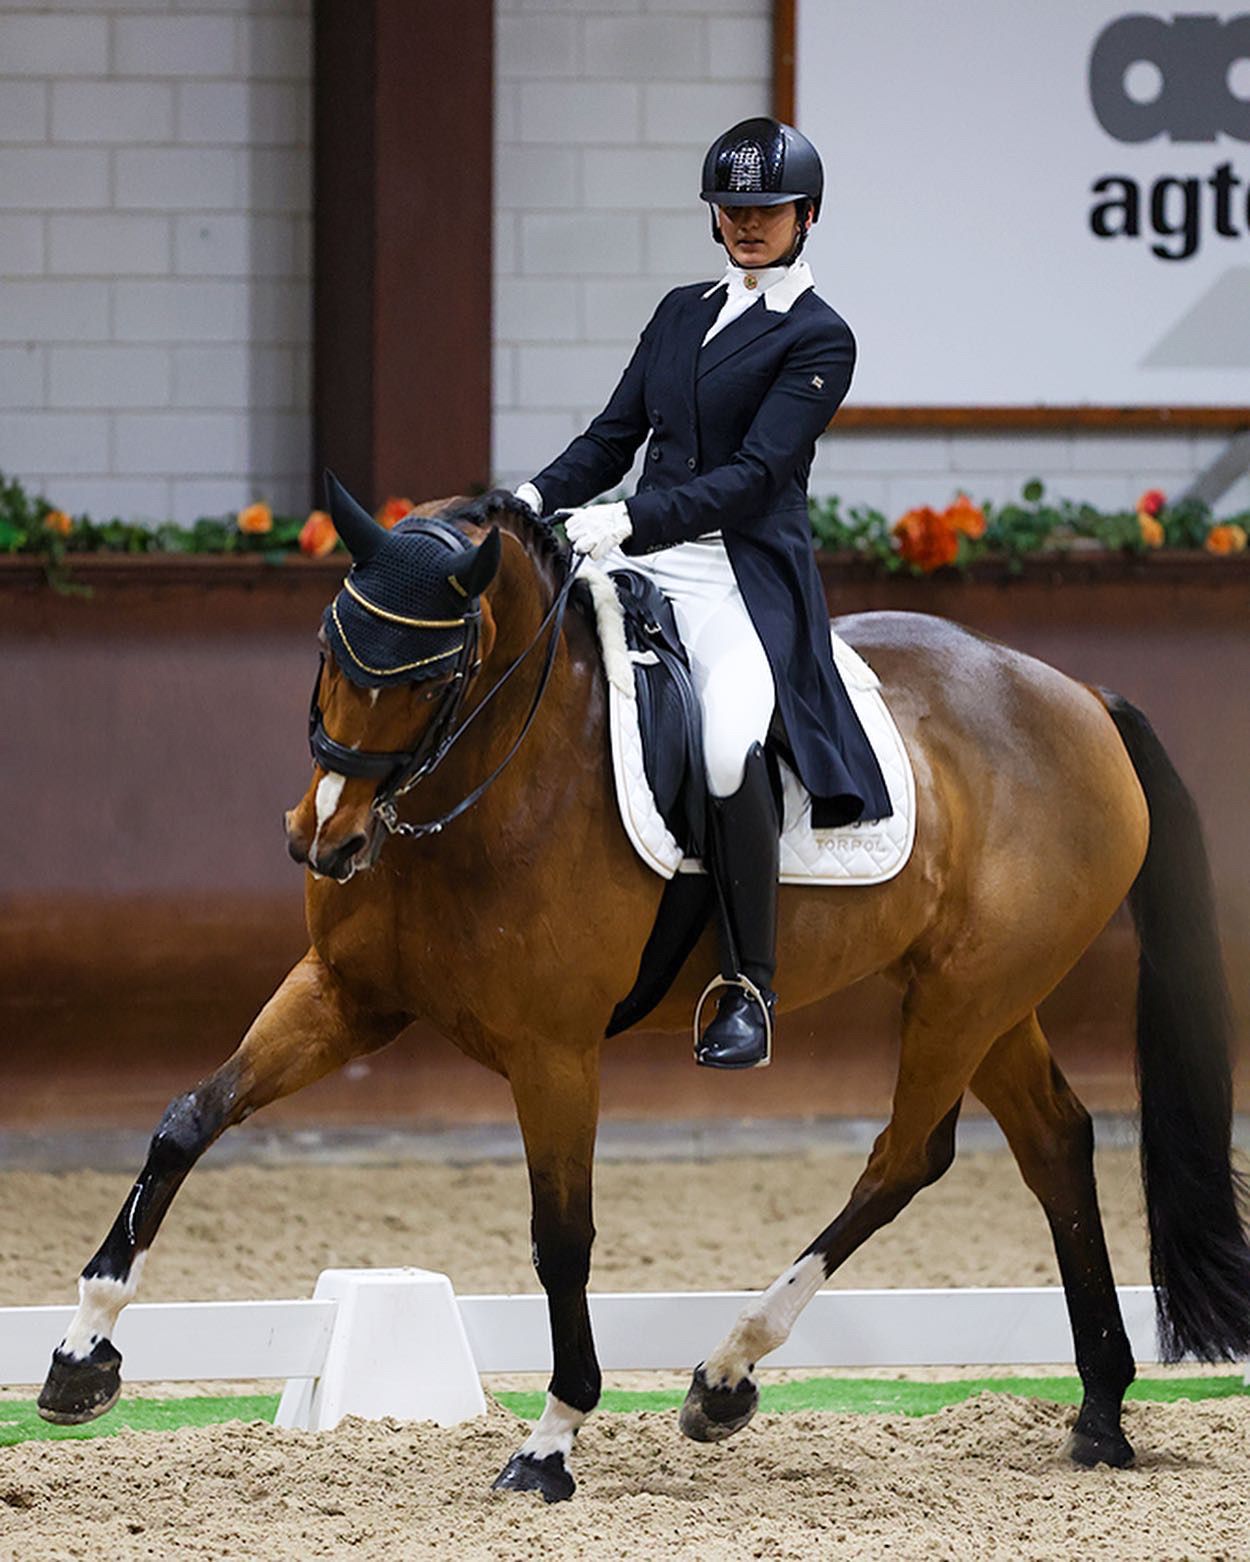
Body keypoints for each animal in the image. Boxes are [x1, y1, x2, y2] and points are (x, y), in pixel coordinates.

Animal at [36, 484, 1250, 1499]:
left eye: (431, 677)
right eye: (328, 643)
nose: (322, 838)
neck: (493, 779)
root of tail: (1075, 695)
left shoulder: (554, 1048)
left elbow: (561, 1234)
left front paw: (550, 1441)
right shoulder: (346, 996)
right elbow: (187, 1116)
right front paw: (82, 1351)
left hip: (965, 995)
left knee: (909, 1154)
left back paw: (724, 1376)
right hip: (986, 996)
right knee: (1055, 1142)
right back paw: (1099, 1414)